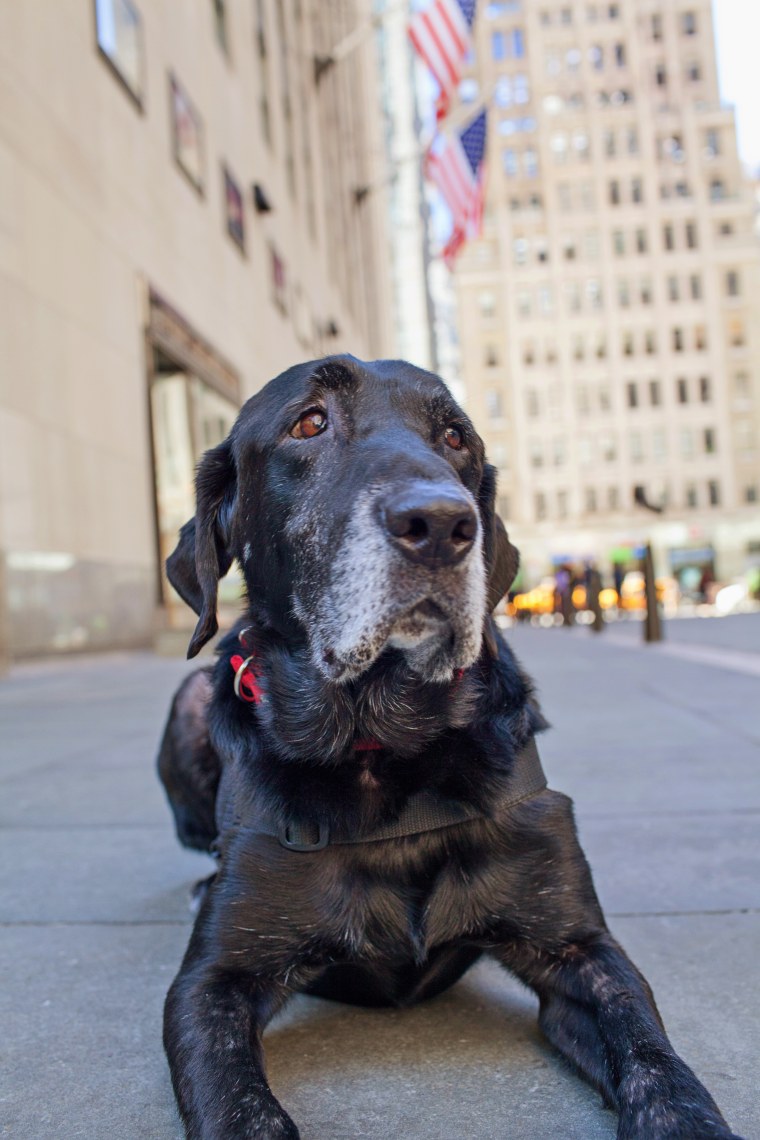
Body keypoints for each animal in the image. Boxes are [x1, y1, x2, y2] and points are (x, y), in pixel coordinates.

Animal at [156, 355, 742, 1140]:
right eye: (309, 422)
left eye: (456, 438)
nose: (439, 524)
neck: (382, 747)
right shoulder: (212, 983)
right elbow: (239, 1107)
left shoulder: (582, 950)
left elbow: (657, 1063)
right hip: (185, 703)